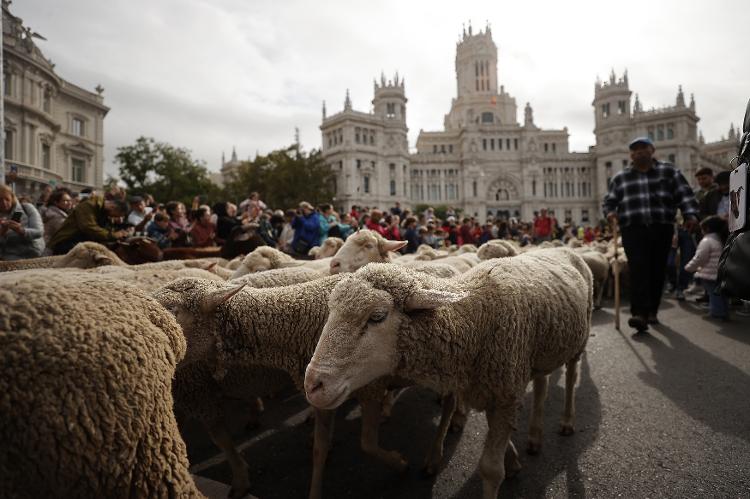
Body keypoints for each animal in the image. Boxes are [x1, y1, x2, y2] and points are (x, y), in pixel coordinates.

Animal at [154, 278, 452, 499]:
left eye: (173, 311)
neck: (293, 321)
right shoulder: (322, 393)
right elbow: (319, 449)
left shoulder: (369, 387)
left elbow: (367, 443)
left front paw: (399, 463)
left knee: (451, 404)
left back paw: (436, 453)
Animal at [306, 250, 592, 499]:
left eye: (377, 316)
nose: (313, 385)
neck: (475, 318)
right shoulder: (493, 388)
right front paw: (513, 461)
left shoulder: (505, 393)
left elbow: (490, 469)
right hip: (543, 349)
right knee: (542, 383)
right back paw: (534, 435)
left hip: (579, 339)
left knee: (571, 376)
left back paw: (567, 421)